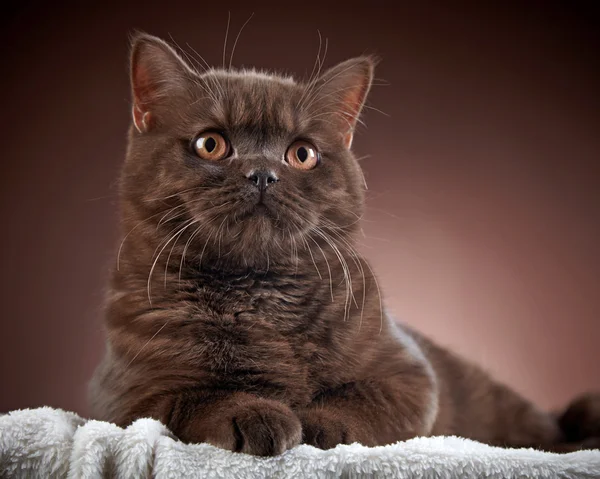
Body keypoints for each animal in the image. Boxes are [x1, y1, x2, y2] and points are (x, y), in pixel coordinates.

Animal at [90, 31, 600, 456]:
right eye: (210, 144)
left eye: (302, 154)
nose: (262, 173)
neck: (260, 298)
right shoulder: (119, 399)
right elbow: (189, 396)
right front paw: (256, 413)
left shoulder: (412, 376)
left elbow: (363, 398)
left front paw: (318, 424)